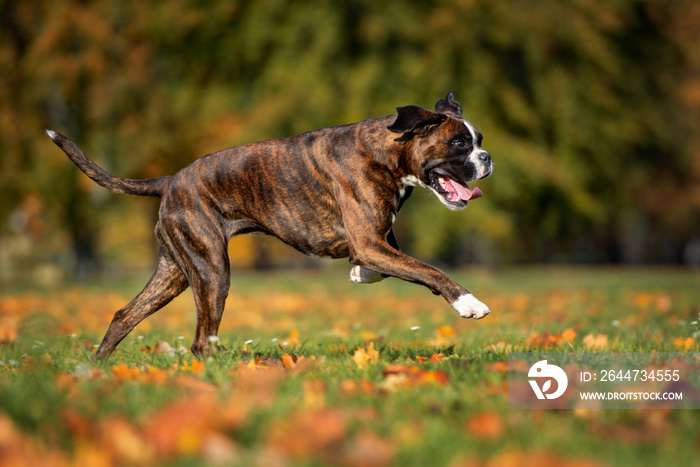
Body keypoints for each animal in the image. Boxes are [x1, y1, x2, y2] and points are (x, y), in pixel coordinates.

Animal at [47, 92, 492, 362]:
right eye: (459, 144)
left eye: (480, 139)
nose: (487, 158)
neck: (387, 150)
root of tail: (170, 181)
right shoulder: (369, 242)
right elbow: (427, 269)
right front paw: (468, 302)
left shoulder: (375, 241)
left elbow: (394, 266)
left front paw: (360, 274)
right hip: (212, 272)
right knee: (200, 340)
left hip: (176, 271)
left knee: (125, 315)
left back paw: (96, 369)